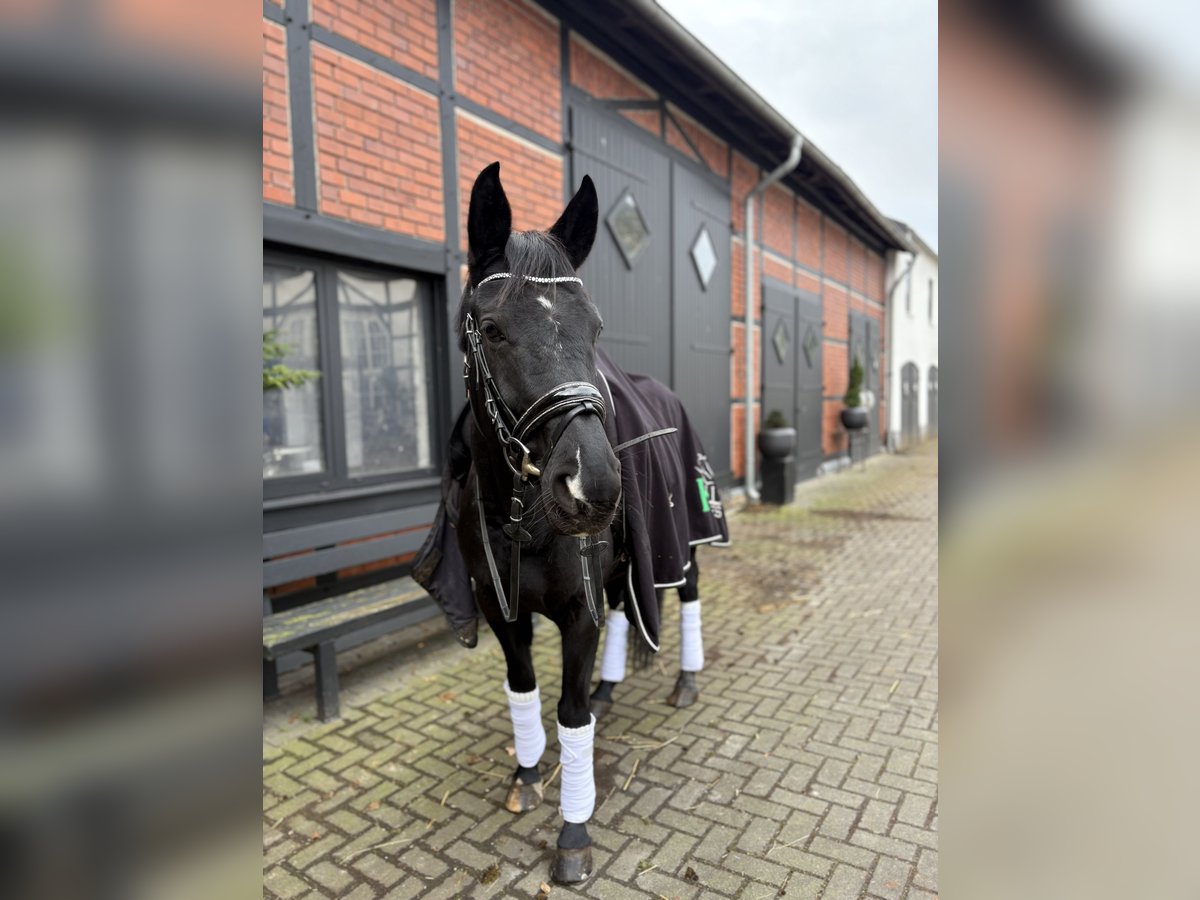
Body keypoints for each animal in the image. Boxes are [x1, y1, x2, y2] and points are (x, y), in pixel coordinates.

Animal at [434, 164, 724, 888]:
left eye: (593, 328)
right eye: (491, 327)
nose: (593, 485)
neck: (522, 518)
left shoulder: (576, 613)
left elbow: (570, 714)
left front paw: (573, 833)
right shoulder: (501, 609)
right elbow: (524, 688)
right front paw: (527, 773)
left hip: (686, 545)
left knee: (687, 596)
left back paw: (685, 682)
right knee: (625, 605)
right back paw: (612, 686)